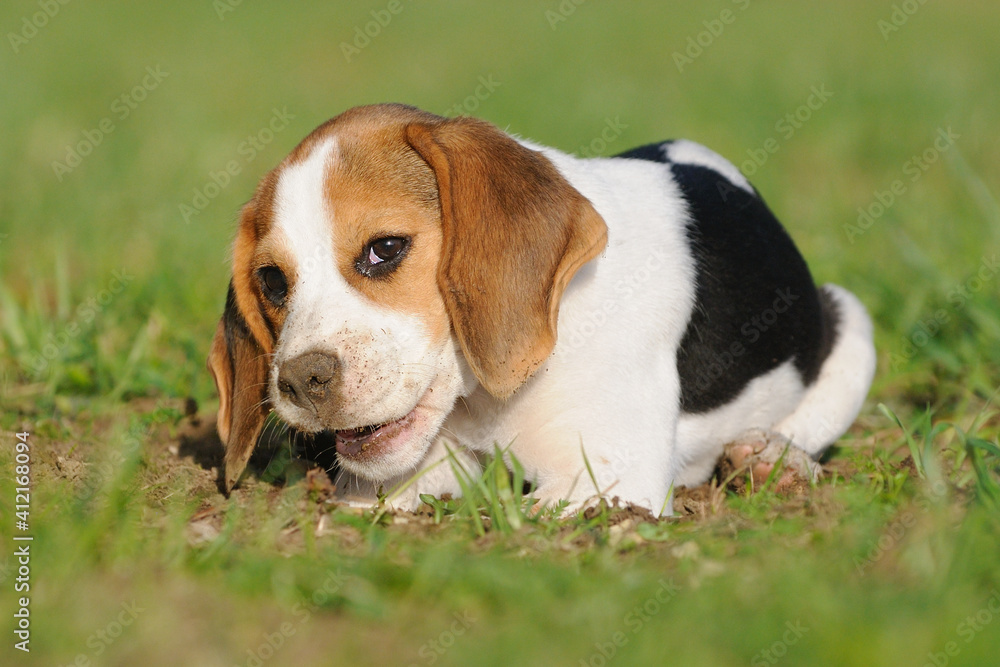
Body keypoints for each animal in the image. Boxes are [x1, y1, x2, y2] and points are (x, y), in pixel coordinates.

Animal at [205, 103, 876, 516]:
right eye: (272, 282)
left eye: (385, 249)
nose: (300, 381)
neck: (483, 400)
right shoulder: (417, 471)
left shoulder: (606, 478)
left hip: (849, 319)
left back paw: (771, 462)